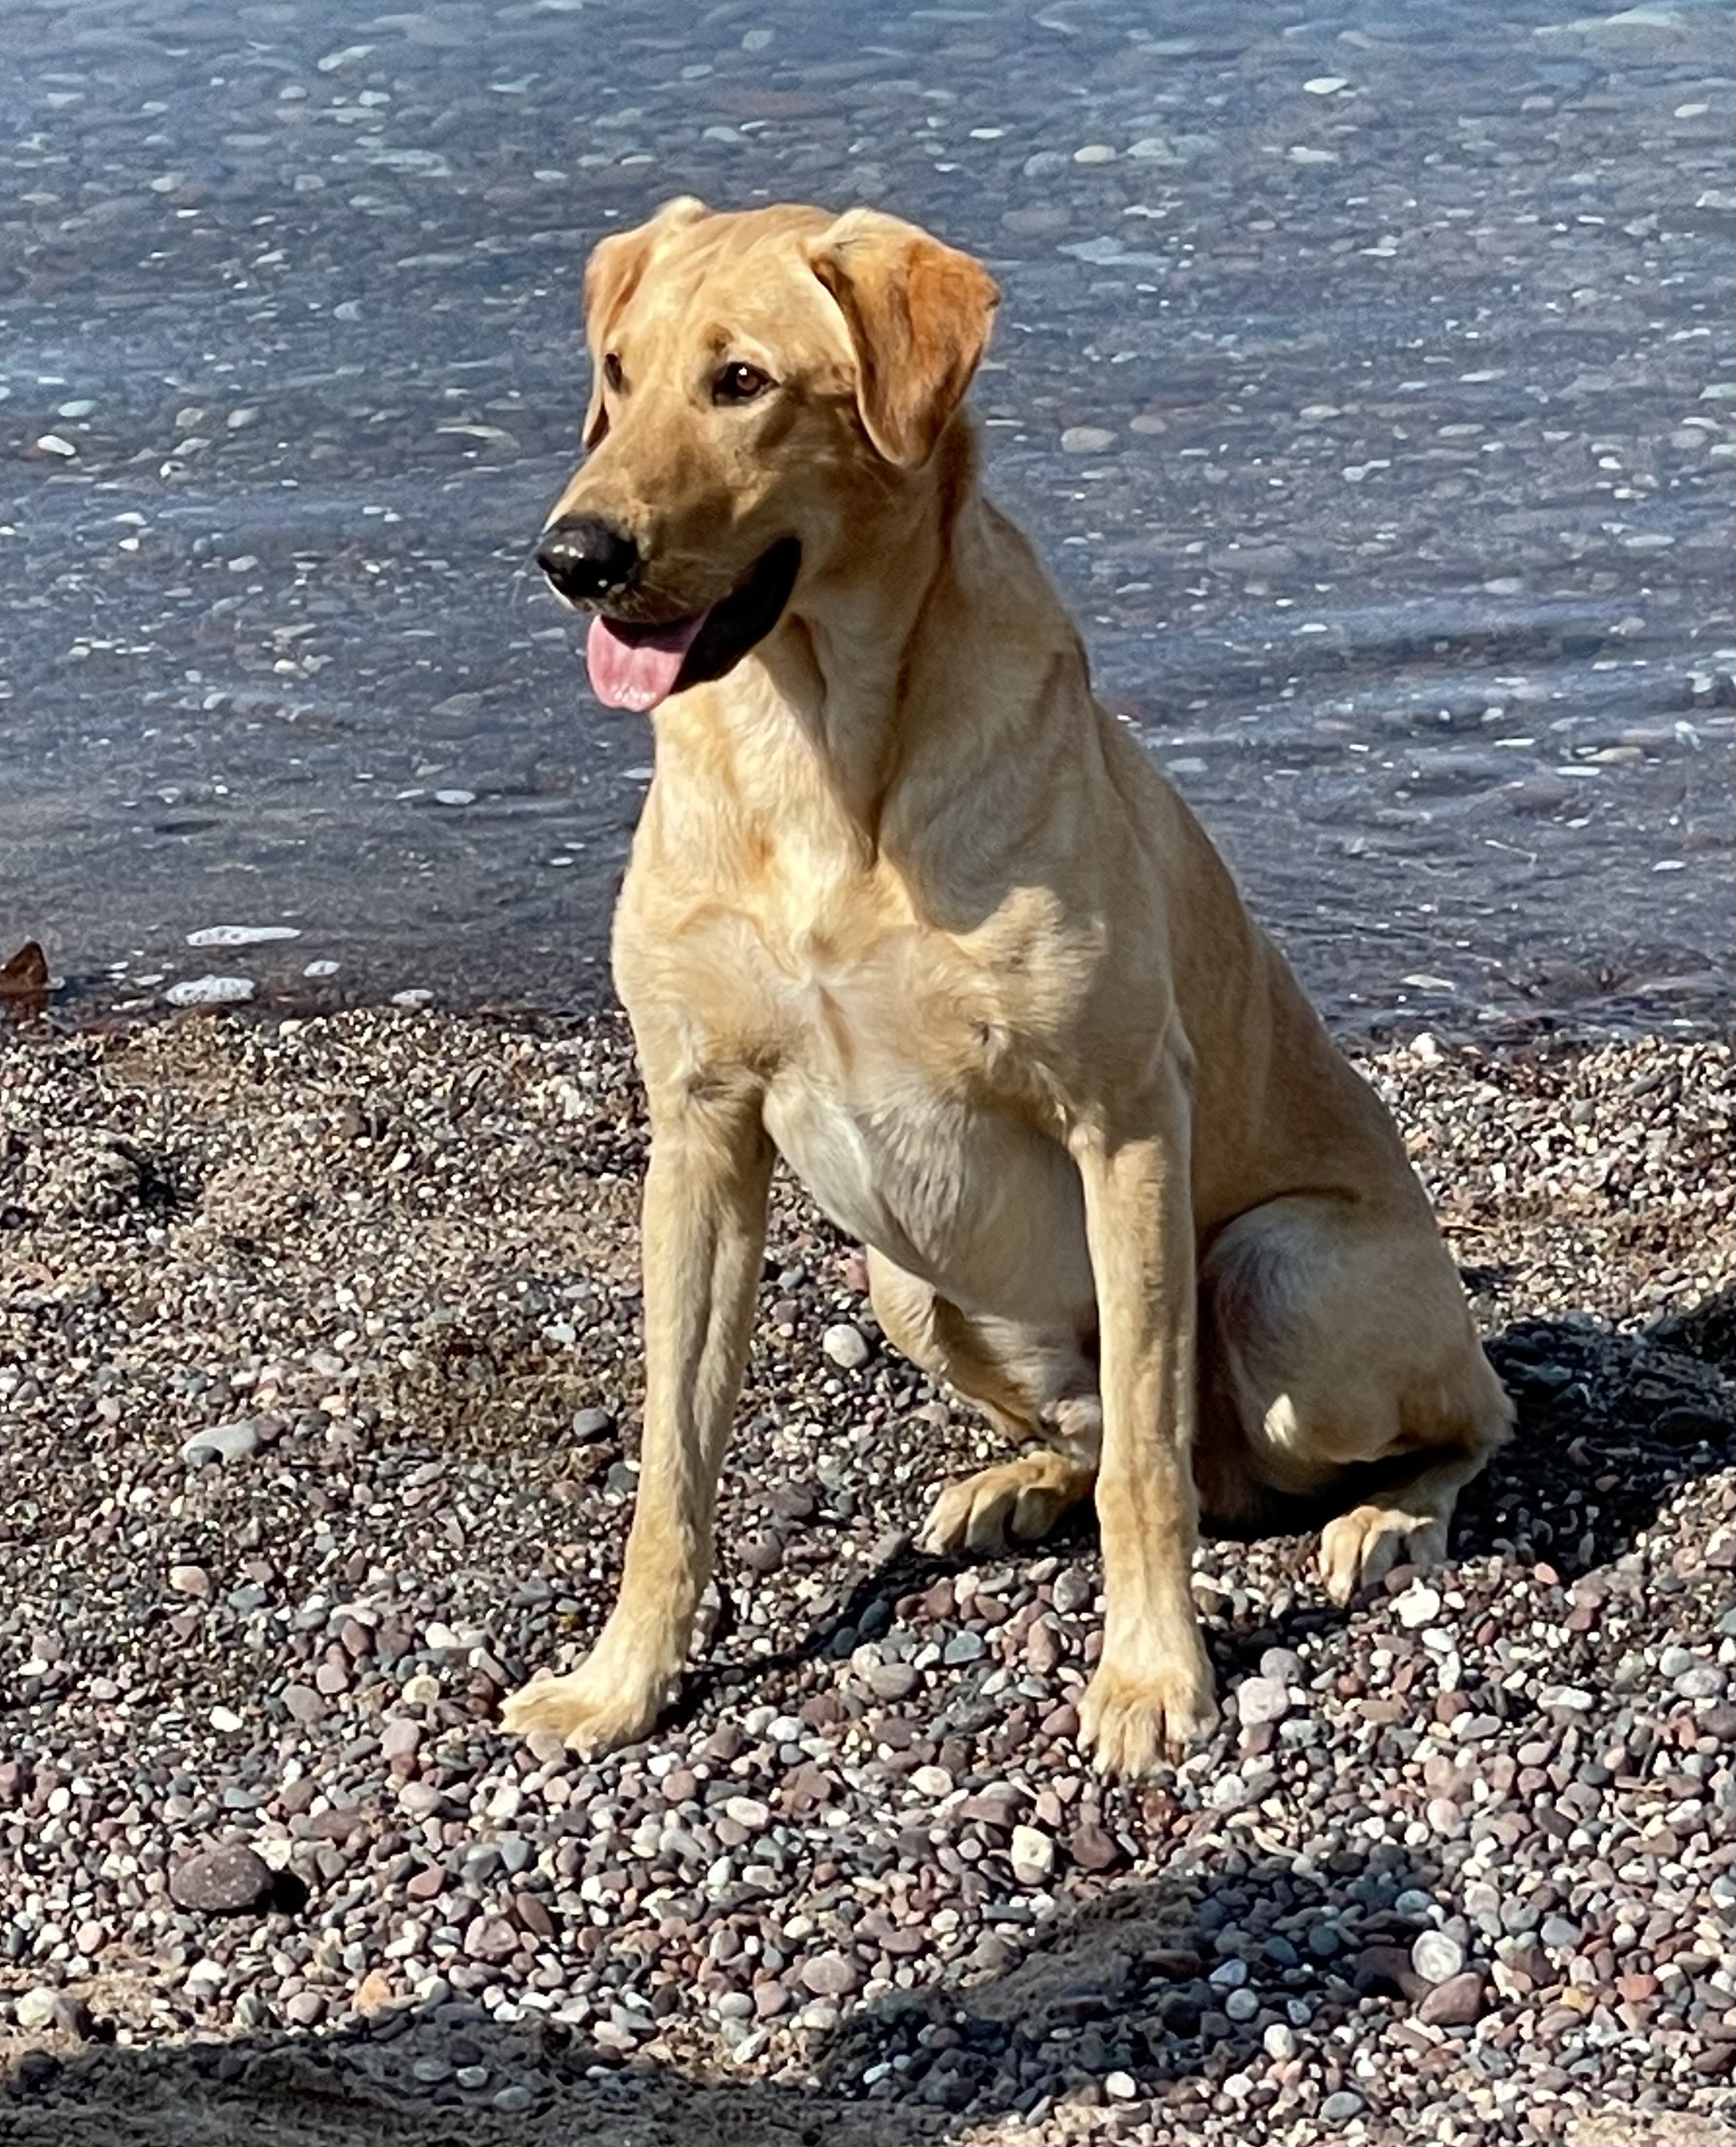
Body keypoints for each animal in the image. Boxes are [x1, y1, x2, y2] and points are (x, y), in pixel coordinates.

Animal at [498, 202, 1504, 1778]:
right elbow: (673, 1459)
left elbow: (1146, 1467)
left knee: (1428, 1421)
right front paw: (622, 1679)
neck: (818, 748)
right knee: (1125, 1445)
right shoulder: (699, 1133)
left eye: (741, 381)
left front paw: (1153, 1676)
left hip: (1284, 1274)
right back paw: (1016, 1480)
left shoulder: (1125, 1123)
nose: (572, 555)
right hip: (906, 1279)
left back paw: (1387, 1514)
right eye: (616, 369)